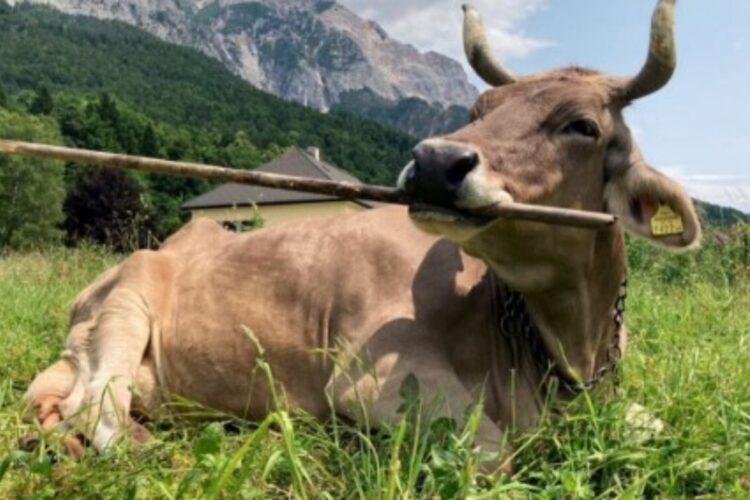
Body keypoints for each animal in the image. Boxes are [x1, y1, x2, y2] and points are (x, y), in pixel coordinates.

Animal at [23, 0, 699, 473]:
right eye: (478, 111)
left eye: (582, 126)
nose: (435, 161)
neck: (563, 348)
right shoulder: (376, 381)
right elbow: (495, 454)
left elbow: (662, 429)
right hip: (127, 303)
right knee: (98, 406)